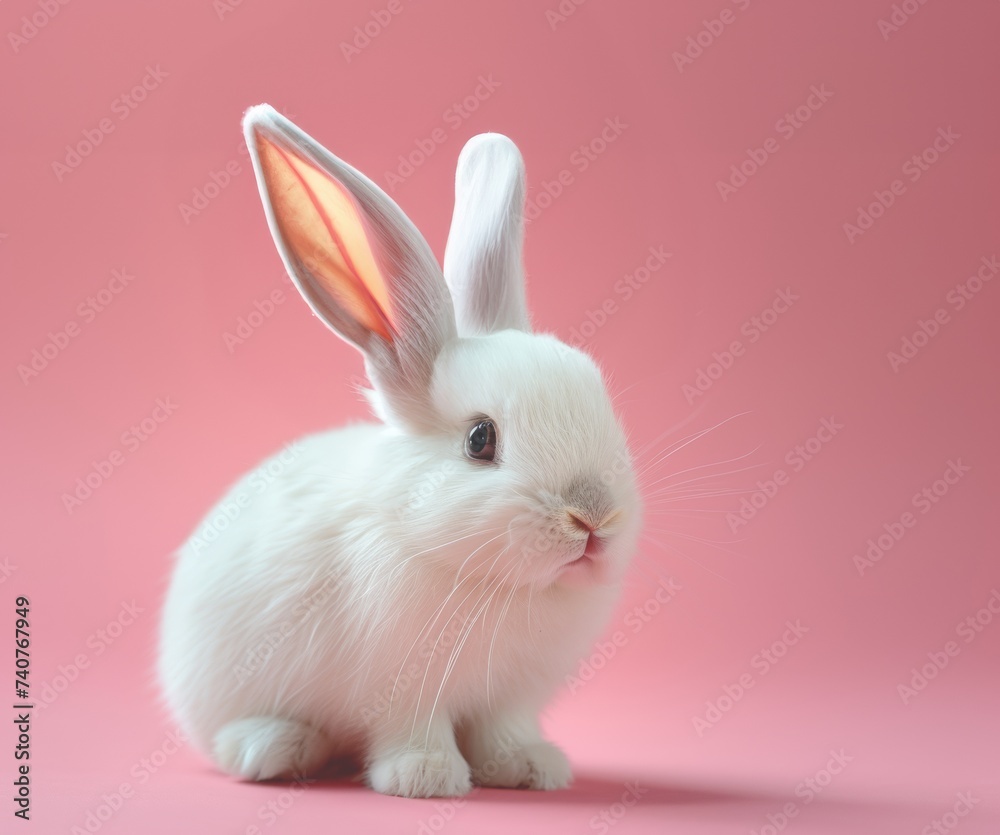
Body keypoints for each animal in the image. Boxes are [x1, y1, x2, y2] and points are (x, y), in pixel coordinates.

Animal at [158, 104, 641, 798]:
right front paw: (427, 778)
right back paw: (276, 748)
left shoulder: (510, 697)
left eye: (600, 401)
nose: (594, 516)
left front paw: (528, 768)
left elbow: (504, 730)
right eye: (480, 440)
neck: (495, 584)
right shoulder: (401, 688)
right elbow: (414, 729)